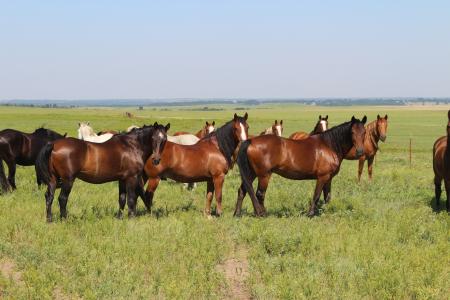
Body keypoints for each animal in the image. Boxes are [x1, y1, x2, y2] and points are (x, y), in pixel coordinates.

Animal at [35, 122, 171, 223]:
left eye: (164, 139)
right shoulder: (131, 177)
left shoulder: (122, 179)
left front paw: (119, 218)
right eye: (153, 138)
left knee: (49, 197)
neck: (131, 146)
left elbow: (122, 199)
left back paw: (49, 219)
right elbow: (131, 199)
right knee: (62, 198)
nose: (156, 160)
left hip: (53, 180)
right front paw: (131, 218)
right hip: (68, 180)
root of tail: (53, 144)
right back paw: (64, 219)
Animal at [234, 116, 368, 217]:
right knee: (259, 194)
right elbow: (316, 195)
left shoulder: (329, 178)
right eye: (352, 132)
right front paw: (311, 214)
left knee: (243, 191)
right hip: (264, 175)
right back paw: (263, 214)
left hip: (251, 173)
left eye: (364, 132)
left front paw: (325, 211)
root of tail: (250, 141)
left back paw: (237, 214)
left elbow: (327, 197)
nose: (360, 152)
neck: (329, 145)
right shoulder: (322, 177)